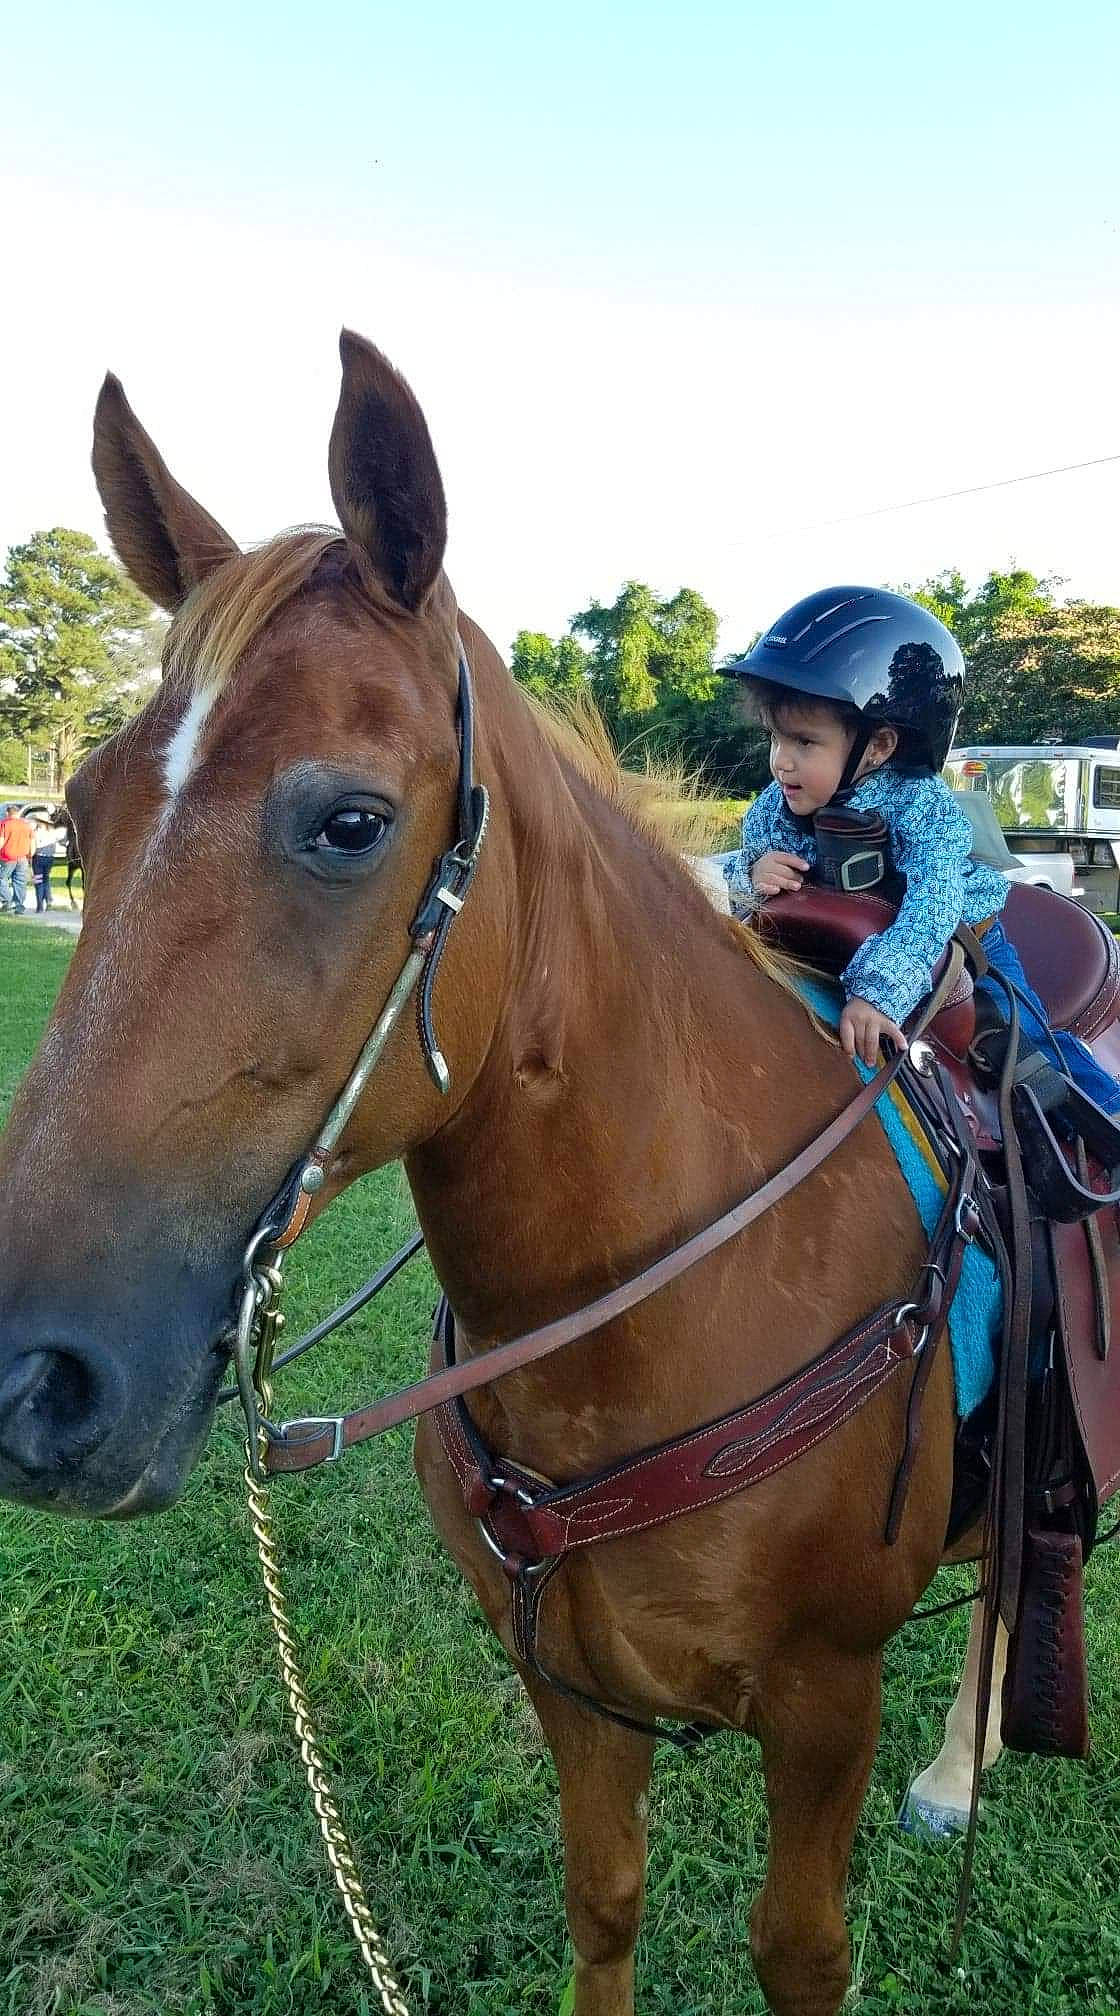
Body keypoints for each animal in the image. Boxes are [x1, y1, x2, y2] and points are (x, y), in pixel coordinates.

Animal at [0, 331, 1004, 2015]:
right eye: (76, 815)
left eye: (352, 822)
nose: (30, 1382)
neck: (657, 1315)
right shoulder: (564, 1686)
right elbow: (604, 1903)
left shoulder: (827, 1703)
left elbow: (800, 1953)